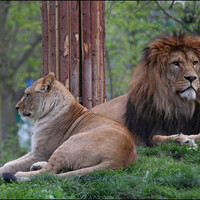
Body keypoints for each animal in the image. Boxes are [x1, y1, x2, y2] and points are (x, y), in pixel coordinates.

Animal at [0, 72, 136, 181]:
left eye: (27, 94)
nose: (16, 107)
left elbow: (13, 165)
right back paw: (37, 165)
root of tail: (119, 158)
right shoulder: (35, 151)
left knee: (48, 172)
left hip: (69, 143)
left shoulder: (41, 152)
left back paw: (21, 174)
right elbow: (12, 161)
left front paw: (3, 171)